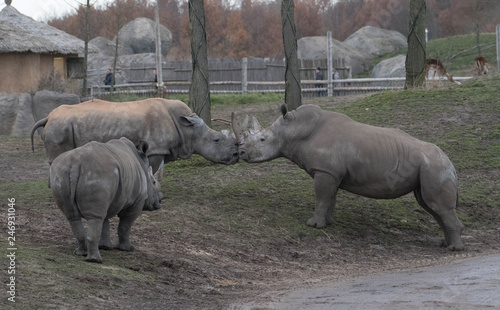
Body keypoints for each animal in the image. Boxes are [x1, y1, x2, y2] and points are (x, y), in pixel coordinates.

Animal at [31, 98, 240, 183]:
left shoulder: (161, 149)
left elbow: (159, 173)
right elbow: (153, 171)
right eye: (217, 140)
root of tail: (47, 117)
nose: (236, 155)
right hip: (60, 126)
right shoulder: (156, 148)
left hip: (62, 124)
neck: (188, 127)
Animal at [233, 103, 464, 249]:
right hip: (429, 167)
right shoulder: (332, 173)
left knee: (437, 206)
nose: (241, 153)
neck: (295, 131)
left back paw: (453, 249)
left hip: (434, 166)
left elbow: (321, 197)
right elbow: (330, 198)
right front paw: (327, 223)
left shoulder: (325, 171)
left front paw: (313, 225)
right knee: (429, 205)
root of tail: (451, 164)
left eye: (262, 140)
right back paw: (445, 244)